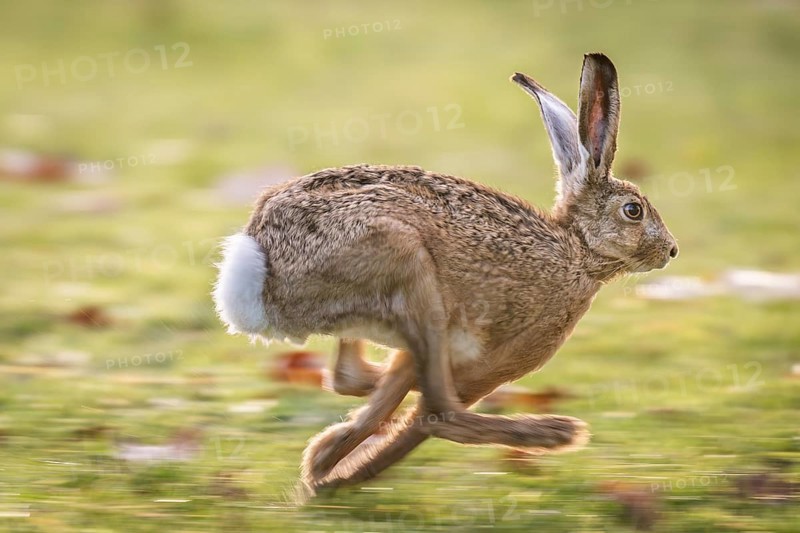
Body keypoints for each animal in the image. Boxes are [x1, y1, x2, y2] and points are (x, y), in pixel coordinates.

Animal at [212, 53, 678, 496]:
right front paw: (335, 470)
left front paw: (329, 461)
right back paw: (555, 433)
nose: (671, 251)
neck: (577, 250)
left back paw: (328, 456)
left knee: (356, 377)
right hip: (406, 259)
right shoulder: (501, 358)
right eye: (633, 211)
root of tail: (260, 271)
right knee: (439, 410)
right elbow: (425, 418)